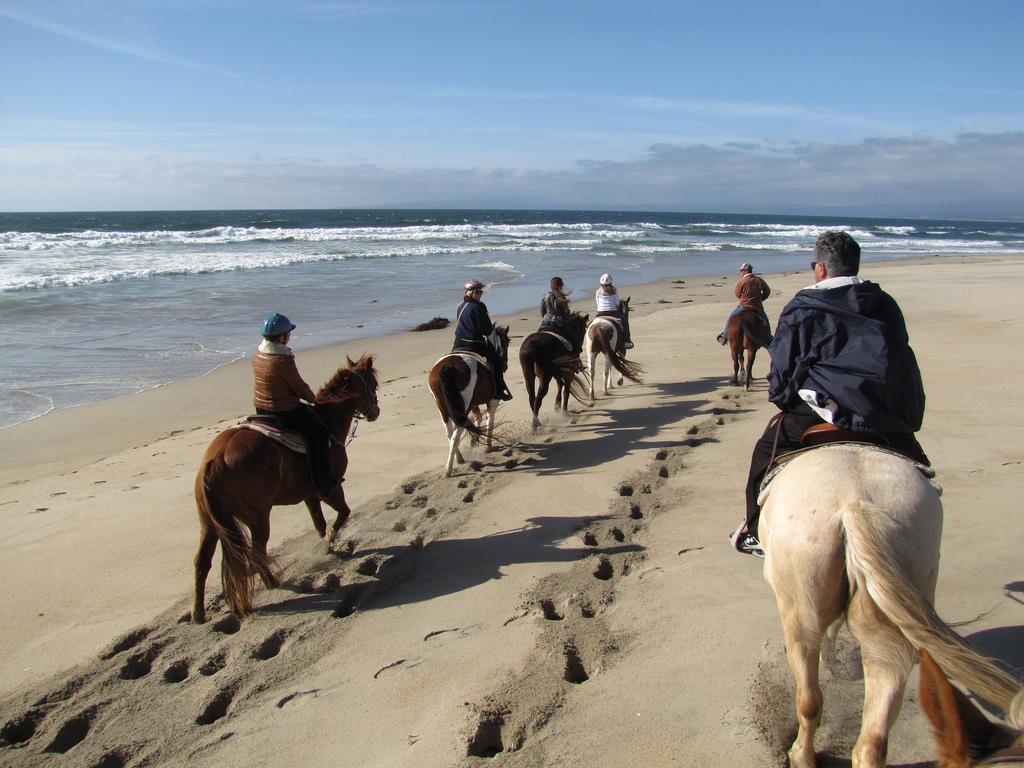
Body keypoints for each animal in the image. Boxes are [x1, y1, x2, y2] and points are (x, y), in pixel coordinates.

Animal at [192, 354, 380, 626]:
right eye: (372, 384)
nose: (376, 412)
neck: (328, 419)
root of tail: (215, 461)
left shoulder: (310, 494)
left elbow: (319, 522)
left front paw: (326, 544)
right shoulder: (330, 488)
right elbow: (343, 513)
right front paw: (329, 543)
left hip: (209, 522)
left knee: (203, 563)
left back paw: (198, 613)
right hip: (257, 517)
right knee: (256, 552)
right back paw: (271, 581)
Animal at [425, 325, 509, 481]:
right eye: (506, 344)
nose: (505, 365)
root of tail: (448, 367)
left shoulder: (472, 403)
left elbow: (478, 417)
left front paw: (475, 441)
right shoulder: (492, 402)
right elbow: (490, 421)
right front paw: (488, 445)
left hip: (443, 407)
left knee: (450, 433)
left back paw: (458, 459)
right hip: (463, 407)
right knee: (455, 435)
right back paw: (449, 469)